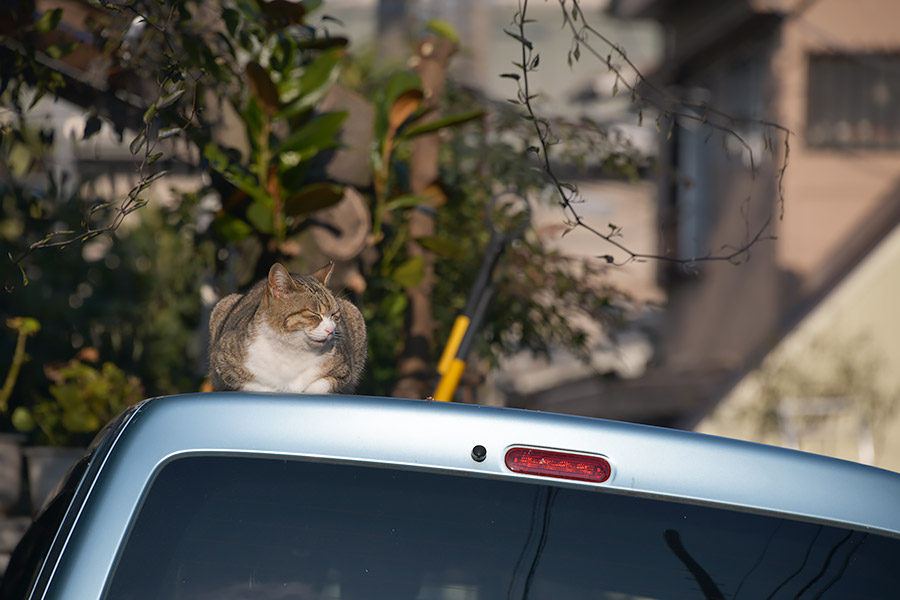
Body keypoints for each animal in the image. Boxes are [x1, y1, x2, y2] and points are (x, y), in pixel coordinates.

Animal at [207, 262, 366, 394]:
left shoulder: (343, 370)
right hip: (223, 305)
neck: (292, 348)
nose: (331, 330)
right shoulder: (223, 363)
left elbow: (319, 385)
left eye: (334, 314)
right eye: (314, 314)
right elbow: (257, 385)